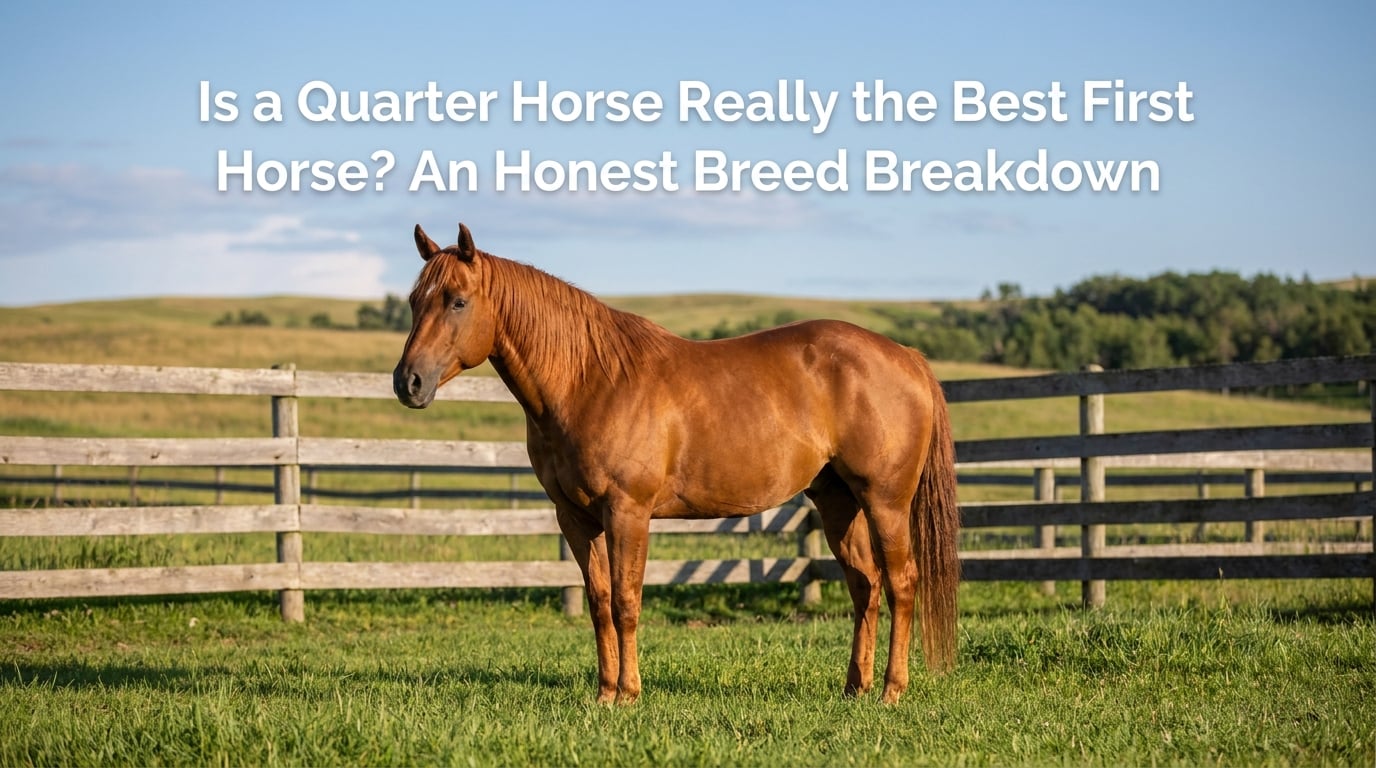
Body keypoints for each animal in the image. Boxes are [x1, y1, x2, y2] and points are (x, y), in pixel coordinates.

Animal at [393, 223, 961, 705]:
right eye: (415, 300)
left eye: (458, 301)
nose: (408, 382)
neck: (590, 381)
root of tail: (906, 356)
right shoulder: (574, 517)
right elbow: (598, 601)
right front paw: (603, 695)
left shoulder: (628, 512)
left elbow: (626, 602)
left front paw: (628, 694)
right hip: (838, 500)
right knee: (865, 585)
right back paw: (854, 689)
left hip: (885, 501)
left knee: (901, 583)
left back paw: (890, 691)